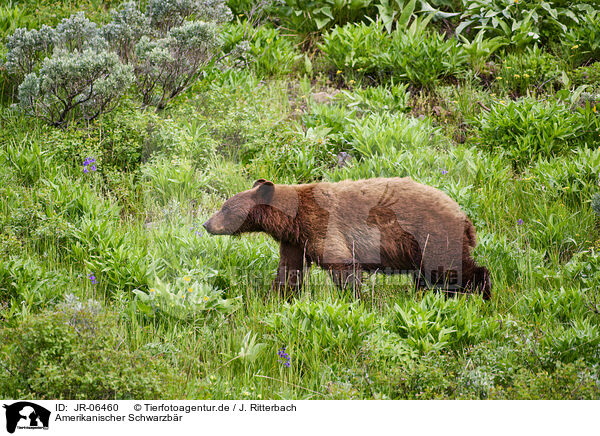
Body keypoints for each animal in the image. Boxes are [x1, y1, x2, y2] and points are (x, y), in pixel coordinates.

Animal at [203, 177, 492, 300]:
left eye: (225, 207)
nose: (206, 224)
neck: (292, 219)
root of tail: (465, 217)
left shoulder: (322, 224)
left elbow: (342, 264)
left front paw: (354, 300)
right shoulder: (296, 240)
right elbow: (289, 270)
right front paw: (276, 297)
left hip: (433, 235)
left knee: (453, 269)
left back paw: (482, 293)